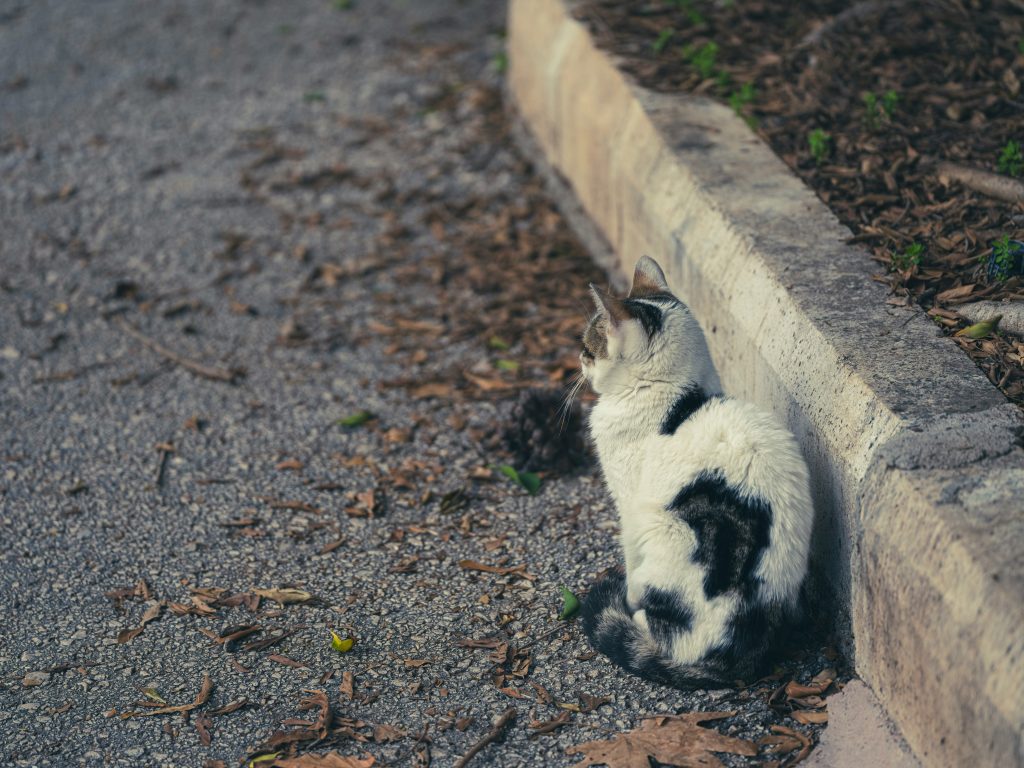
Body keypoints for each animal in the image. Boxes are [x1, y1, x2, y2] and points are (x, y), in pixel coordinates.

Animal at [581, 256, 811, 688]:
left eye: (589, 349)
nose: (578, 362)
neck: (676, 392)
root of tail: (737, 658)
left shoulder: (629, 509)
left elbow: (628, 562)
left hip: (660, 531)